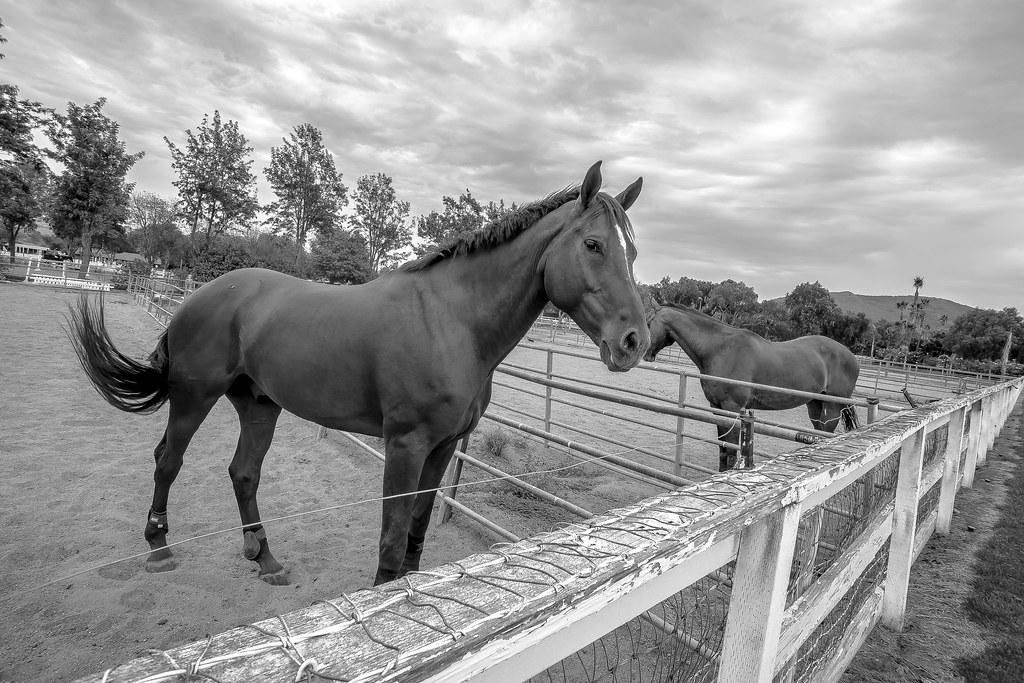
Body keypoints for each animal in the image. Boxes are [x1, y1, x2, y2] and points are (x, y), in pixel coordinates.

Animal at [67, 161, 651, 587]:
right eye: (593, 244)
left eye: (634, 252)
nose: (634, 342)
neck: (451, 320)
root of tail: (202, 294)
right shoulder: (406, 445)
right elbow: (391, 538)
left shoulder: (442, 448)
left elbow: (416, 529)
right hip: (194, 396)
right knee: (168, 461)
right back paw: (159, 548)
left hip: (258, 404)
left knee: (244, 473)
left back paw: (264, 557)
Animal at [643, 301, 860, 471]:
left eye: (648, 322)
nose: (645, 353)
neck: (721, 350)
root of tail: (850, 355)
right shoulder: (716, 407)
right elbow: (722, 446)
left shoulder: (732, 407)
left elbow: (731, 447)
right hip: (815, 404)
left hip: (832, 408)